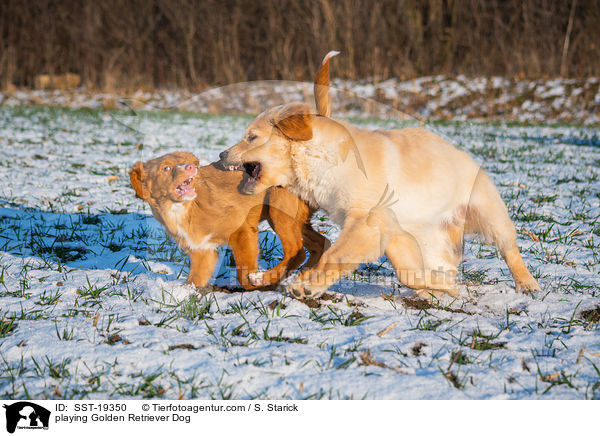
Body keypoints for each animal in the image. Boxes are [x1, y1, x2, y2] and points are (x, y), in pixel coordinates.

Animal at [130, 152, 328, 292]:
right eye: (166, 168)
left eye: (185, 161)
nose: (191, 167)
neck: (183, 209)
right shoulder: (202, 251)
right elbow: (194, 279)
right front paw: (184, 295)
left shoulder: (241, 232)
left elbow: (243, 276)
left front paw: (261, 284)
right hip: (294, 219)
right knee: (320, 243)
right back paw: (303, 276)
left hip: (279, 208)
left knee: (297, 251)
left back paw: (265, 278)